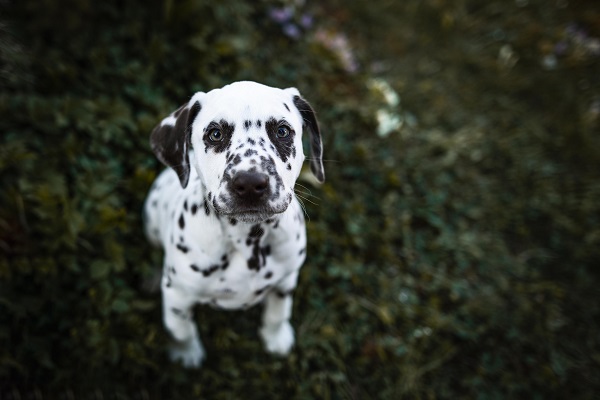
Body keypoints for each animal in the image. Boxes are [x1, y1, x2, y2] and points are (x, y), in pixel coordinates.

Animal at [142, 79, 324, 368]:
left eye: (282, 131)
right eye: (215, 134)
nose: (250, 183)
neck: (247, 238)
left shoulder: (286, 279)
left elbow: (278, 312)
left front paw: (277, 337)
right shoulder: (177, 296)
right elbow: (181, 330)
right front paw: (186, 353)